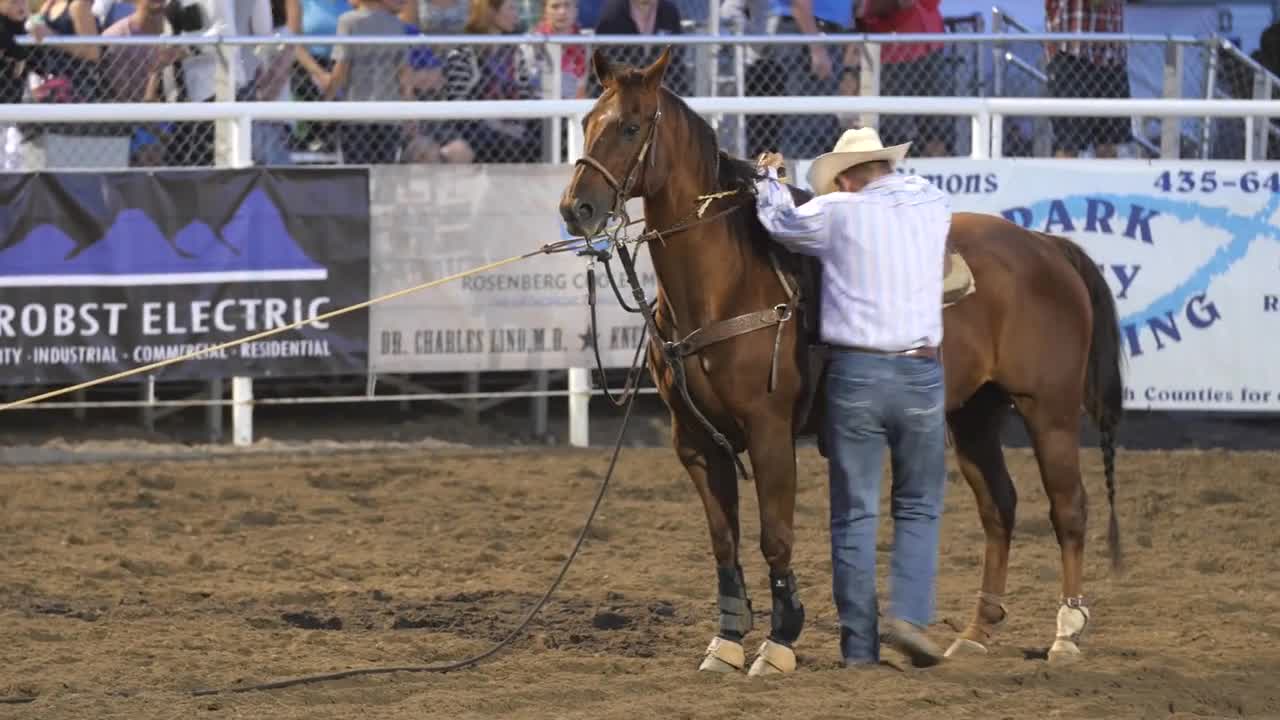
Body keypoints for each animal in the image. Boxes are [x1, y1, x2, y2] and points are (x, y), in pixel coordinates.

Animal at [560, 49, 1121, 671]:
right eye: (587, 122)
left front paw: (778, 643)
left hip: (1049, 410)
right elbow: (724, 540)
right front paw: (725, 643)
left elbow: (775, 536)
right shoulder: (696, 440)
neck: (724, 283)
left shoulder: (770, 430)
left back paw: (1066, 633)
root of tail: (1047, 246)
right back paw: (975, 632)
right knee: (1000, 507)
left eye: (631, 126)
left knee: (1069, 509)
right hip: (975, 414)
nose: (577, 208)